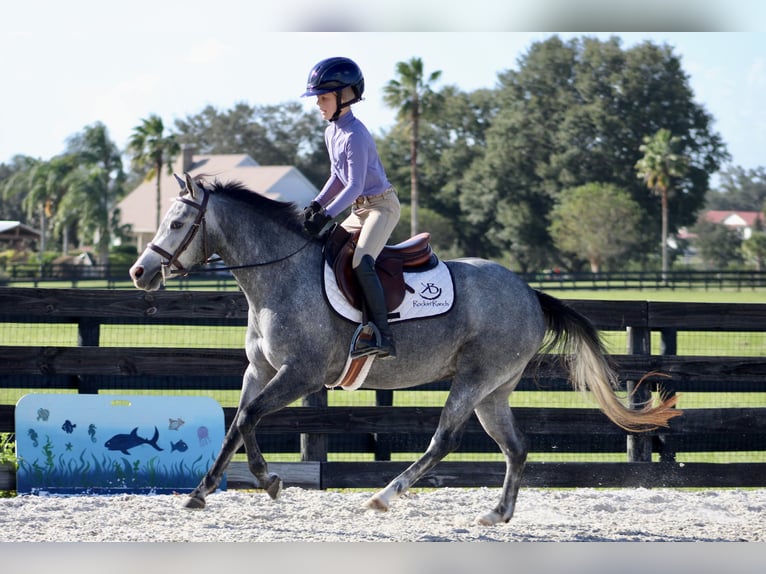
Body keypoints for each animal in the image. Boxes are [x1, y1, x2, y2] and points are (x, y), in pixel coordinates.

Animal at [129, 174, 680, 528]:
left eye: (176, 224)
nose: (139, 272)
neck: (279, 276)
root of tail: (529, 293)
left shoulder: (300, 375)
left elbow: (248, 420)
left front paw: (269, 481)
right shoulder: (259, 371)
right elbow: (235, 425)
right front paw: (200, 494)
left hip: (474, 380)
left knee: (444, 440)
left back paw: (384, 496)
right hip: (494, 390)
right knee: (516, 447)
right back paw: (497, 514)